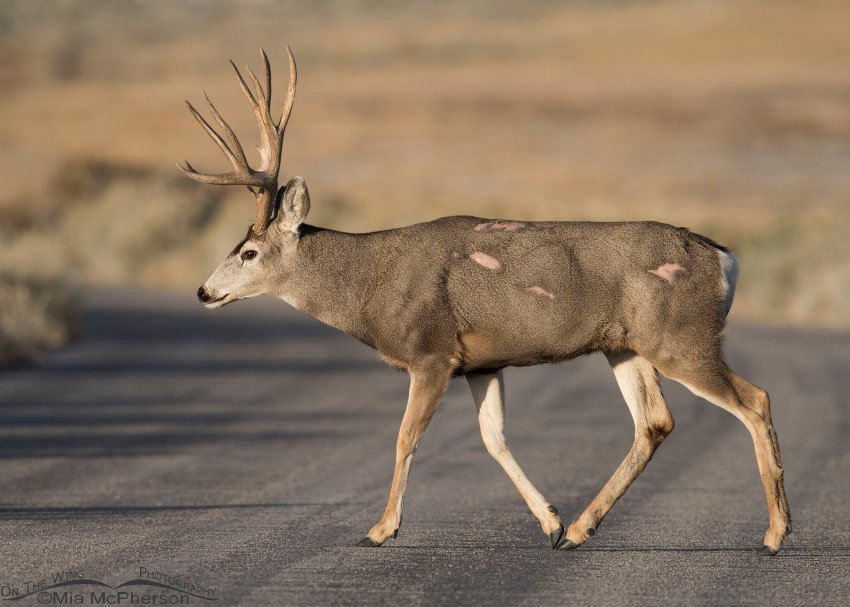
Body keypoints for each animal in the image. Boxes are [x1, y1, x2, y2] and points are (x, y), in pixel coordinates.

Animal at [181, 49, 791, 556]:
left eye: (250, 251)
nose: (204, 291)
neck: (371, 287)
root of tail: (725, 259)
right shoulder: (481, 361)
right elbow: (493, 438)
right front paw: (549, 521)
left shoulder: (431, 352)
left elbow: (405, 437)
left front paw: (381, 529)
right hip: (627, 345)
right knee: (655, 423)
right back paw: (579, 530)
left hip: (681, 336)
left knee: (755, 399)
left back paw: (775, 534)